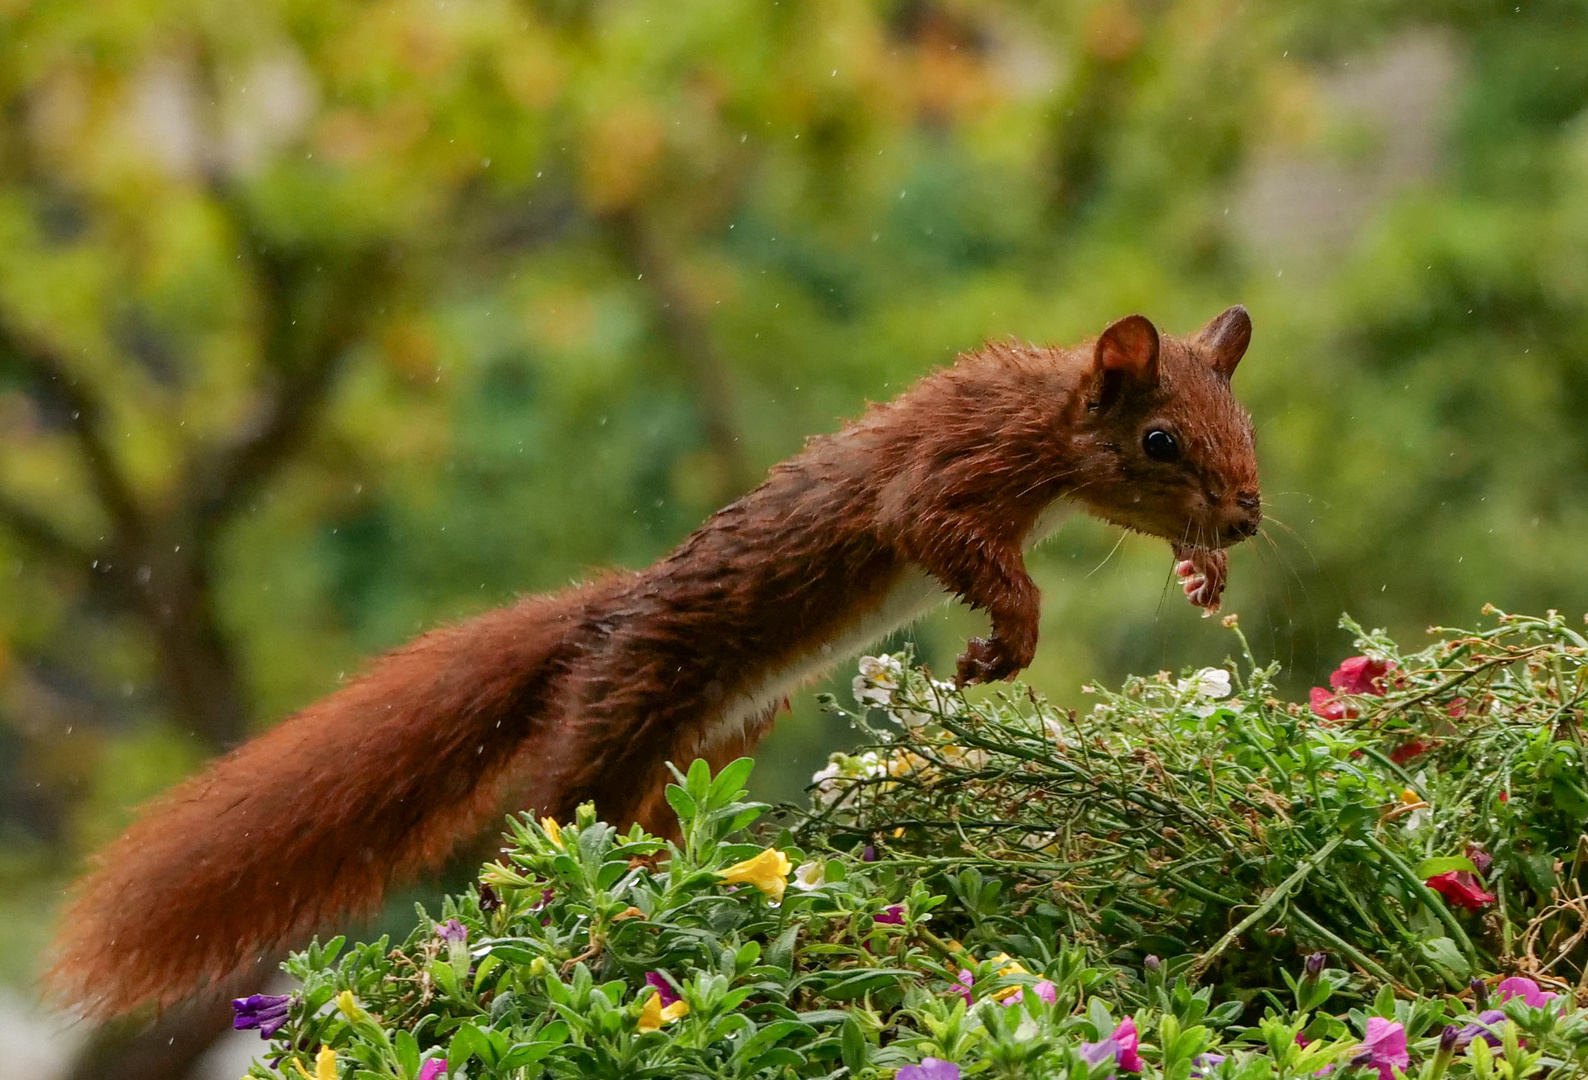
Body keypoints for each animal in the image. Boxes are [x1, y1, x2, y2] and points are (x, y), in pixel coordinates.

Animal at [49, 306, 1257, 1022]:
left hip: (699, 740)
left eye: (1244, 425)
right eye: (1160, 441)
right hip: (616, 712)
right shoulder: (950, 469)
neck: (1045, 423)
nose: (1246, 518)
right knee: (533, 837)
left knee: (642, 827)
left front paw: (1201, 578)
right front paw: (1007, 640)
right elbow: (946, 536)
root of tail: (604, 618)